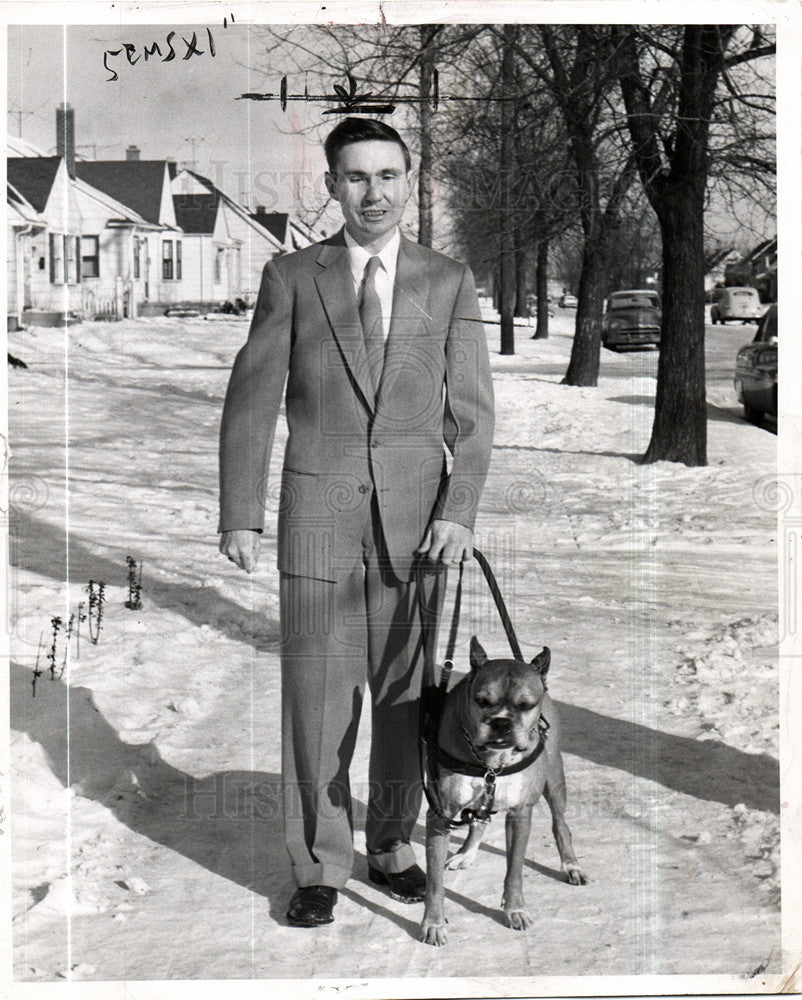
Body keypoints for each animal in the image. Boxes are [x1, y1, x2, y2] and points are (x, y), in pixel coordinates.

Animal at [422, 636, 584, 948]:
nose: (501, 722)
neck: (490, 763)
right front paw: (433, 923)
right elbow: (434, 881)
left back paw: (570, 865)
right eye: (481, 701)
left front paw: (515, 909)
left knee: (560, 825)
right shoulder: (439, 815)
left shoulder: (520, 814)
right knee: (479, 821)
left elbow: (514, 870)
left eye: (526, 705)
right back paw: (466, 853)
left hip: (554, 779)